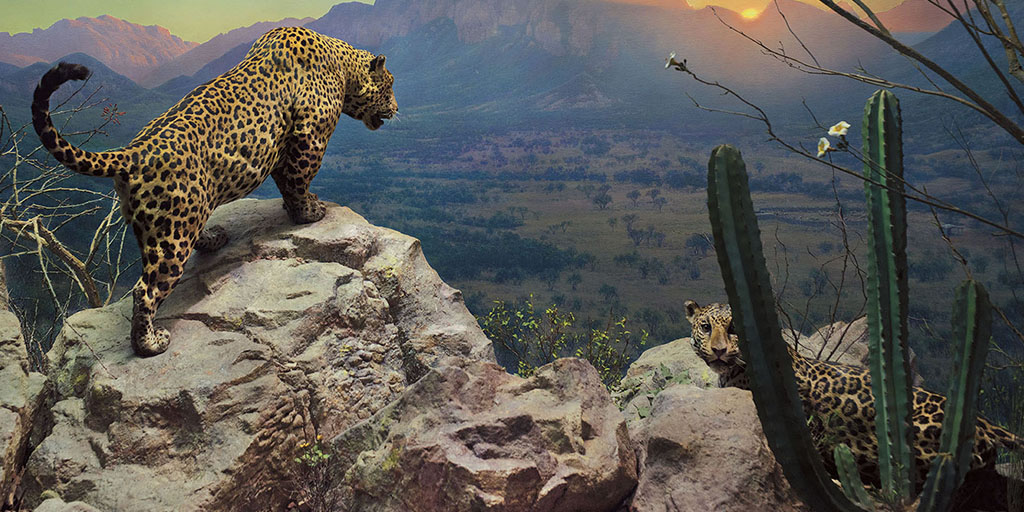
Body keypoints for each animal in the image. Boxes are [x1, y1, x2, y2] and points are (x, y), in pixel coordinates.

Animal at [32, 26, 398, 357]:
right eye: (390, 85)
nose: (397, 108)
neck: (343, 67)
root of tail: (131, 153)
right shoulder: (308, 140)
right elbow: (297, 182)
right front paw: (308, 212)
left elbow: (287, 183)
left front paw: (299, 209)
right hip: (171, 235)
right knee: (145, 291)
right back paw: (149, 345)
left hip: (172, 219)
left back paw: (212, 239)